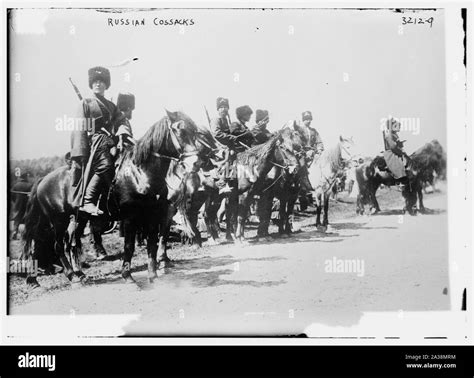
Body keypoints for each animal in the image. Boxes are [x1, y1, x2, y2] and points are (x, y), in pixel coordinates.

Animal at [22, 110, 202, 286]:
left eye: (194, 132)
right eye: (179, 130)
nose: (196, 162)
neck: (140, 172)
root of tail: (43, 180)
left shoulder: (153, 214)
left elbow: (152, 243)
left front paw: (153, 275)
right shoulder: (131, 217)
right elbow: (129, 246)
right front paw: (128, 276)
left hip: (78, 219)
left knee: (69, 244)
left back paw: (76, 274)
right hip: (57, 219)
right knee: (54, 245)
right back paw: (64, 276)